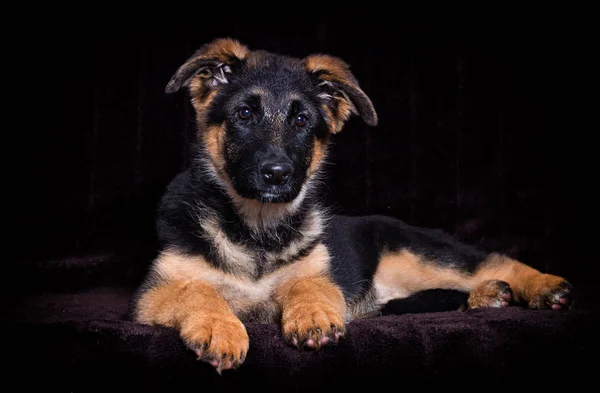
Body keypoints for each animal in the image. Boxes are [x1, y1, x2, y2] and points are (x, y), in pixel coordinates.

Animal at [131, 38, 572, 372]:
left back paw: (540, 286)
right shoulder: (152, 294)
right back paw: (486, 297)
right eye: (243, 114)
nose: (277, 174)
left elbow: (309, 283)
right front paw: (220, 328)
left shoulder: (321, 273)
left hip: (419, 252)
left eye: (301, 121)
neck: (257, 228)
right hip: (397, 296)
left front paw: (311, 314)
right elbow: (198, 291)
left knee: (491, 261)